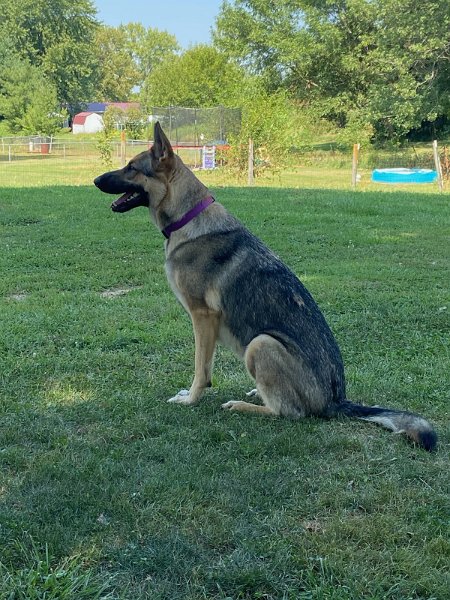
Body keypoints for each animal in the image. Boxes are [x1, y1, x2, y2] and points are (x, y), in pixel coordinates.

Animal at [94, 122, 436, 450]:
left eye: (132, 167)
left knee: (290, 413)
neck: (188, 217)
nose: (95, 180)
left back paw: (243, 405)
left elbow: (201, 370)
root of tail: (336, 402)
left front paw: (190, 400)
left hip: (260, 343)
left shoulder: (203, 317)